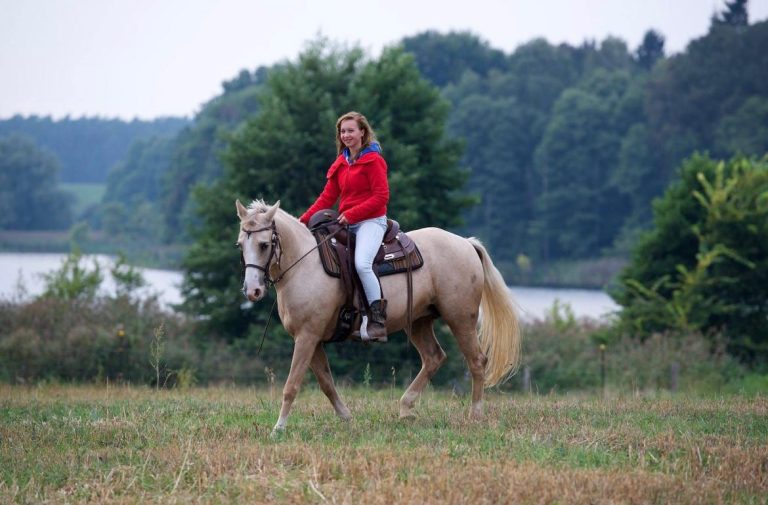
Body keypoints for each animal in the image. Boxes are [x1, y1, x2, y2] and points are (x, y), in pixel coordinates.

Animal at [236, 199, 521, 433]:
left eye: (264, 244)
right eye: (241, 244)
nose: (252, 290)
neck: (306, 265)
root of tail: (466, 243)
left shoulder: (307, 337)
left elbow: (292, 385)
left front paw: (278, 428)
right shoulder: (312, 339)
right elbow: (326, 383)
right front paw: (347, 418)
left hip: (461, 318)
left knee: (477, 361)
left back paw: (475, 415)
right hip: (419, 321)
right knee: (434, 358)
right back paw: (406, 408)